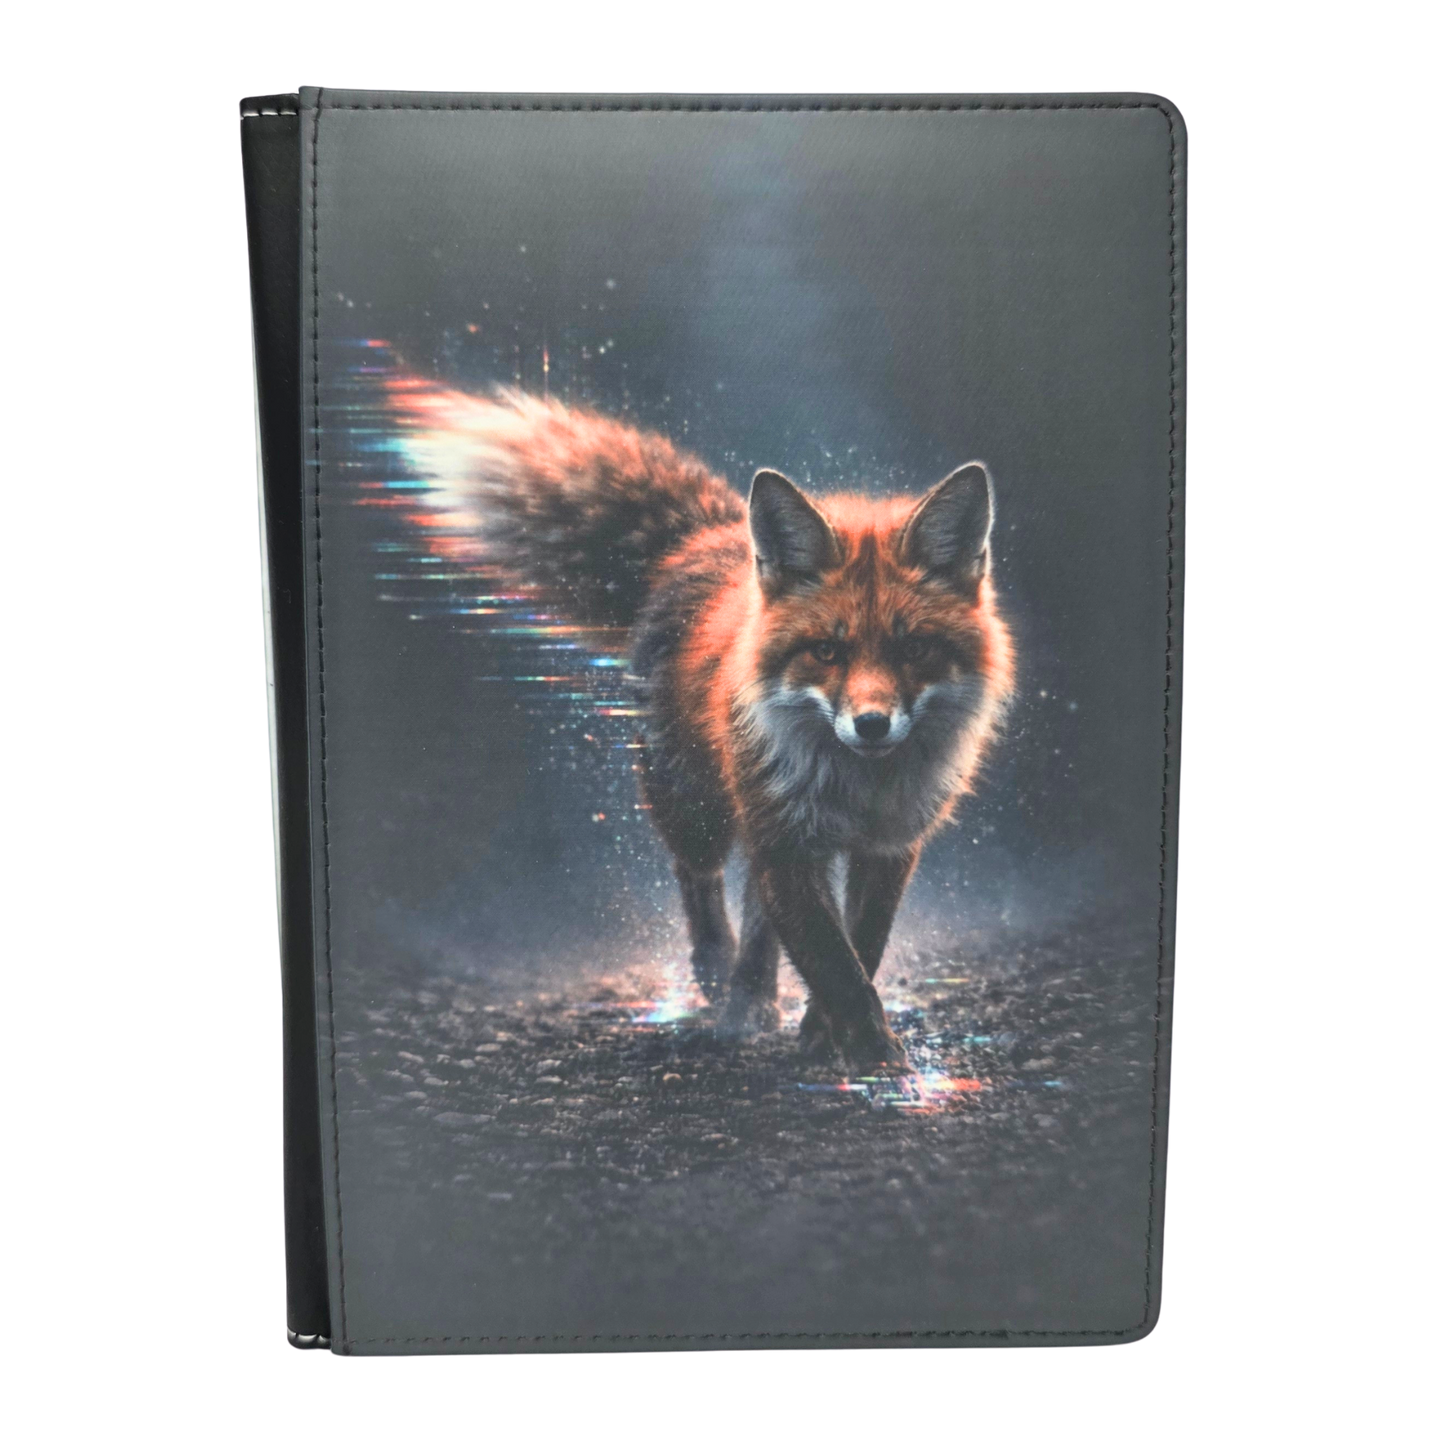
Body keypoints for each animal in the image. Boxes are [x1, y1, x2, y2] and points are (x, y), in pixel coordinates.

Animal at [432, 389, 1015, 1072]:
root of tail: (703, 536)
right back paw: (720, 980)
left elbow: (860, 947)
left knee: (758, 918)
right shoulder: (786, 841)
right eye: (827, 652)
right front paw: (873, 1057)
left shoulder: (887, 845)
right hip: (696, 806)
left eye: (914, 649)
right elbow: (833, 961)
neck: (857, 789)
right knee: (701, 881)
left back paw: (753, 997)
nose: (871, 725)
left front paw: (826, 1034)